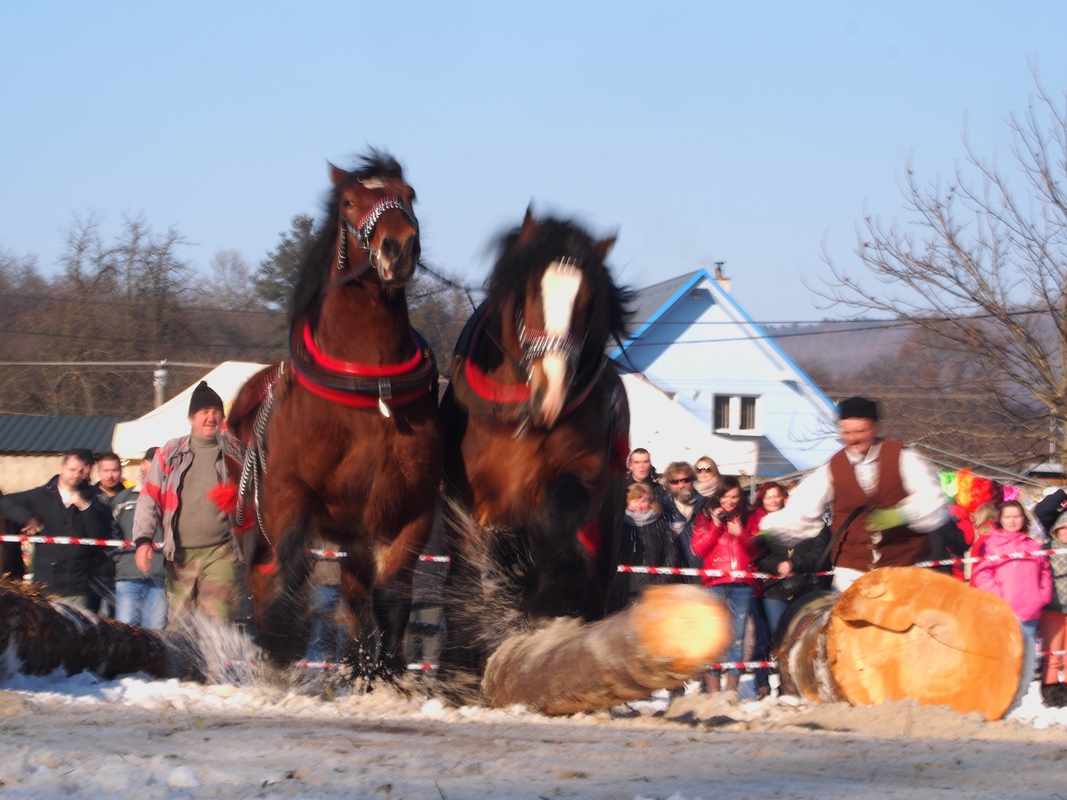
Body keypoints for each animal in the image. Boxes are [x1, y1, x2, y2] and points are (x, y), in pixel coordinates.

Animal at [224, 152, 442, 679]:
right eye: (348, 202)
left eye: (409, 195)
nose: (399, 247)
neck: (372, 389)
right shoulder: (288, 496)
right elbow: (287, 580)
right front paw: (287, 649)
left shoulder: (411, 509)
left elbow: (391, 595)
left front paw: (384, 672)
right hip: (257, 519)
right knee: (267, 579)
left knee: (357, 594)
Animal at [438, 210, 632, 692]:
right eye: (529, 293)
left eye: (587, 301)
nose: (551, 392)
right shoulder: (462, 497)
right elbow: (464, 572)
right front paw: (457, 671)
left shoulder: (583, 474)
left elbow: (550, 525)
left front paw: (542, 598)